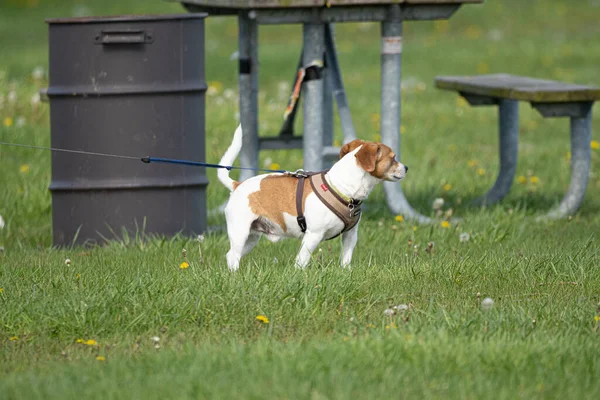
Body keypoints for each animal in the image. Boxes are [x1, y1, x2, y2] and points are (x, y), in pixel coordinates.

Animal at [217, 124, 408, 272]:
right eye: (393, 158)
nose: (406, 167)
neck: (340, 187)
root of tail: (237, 185)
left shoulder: (350, 236)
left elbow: (346, 258)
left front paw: (345, 272)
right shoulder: (313, 236)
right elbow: (301, 261)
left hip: (251, 238)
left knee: (231, 255)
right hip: (240, 233)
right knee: (232, 255)